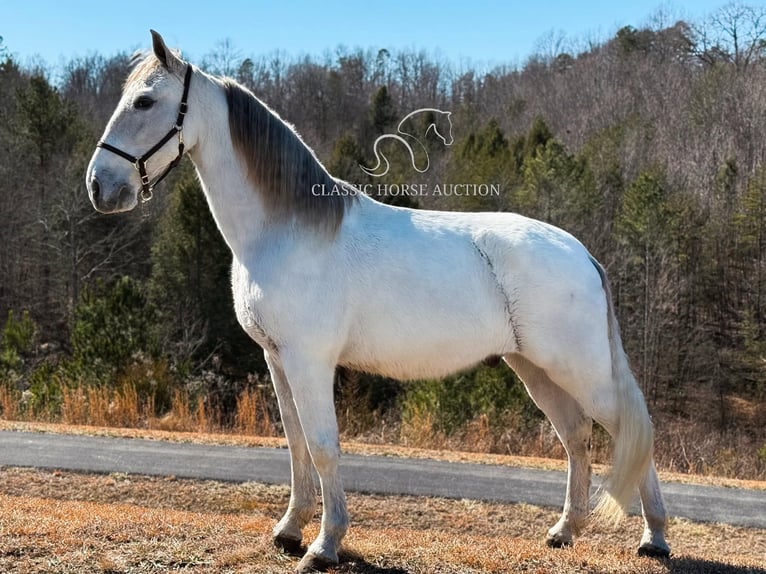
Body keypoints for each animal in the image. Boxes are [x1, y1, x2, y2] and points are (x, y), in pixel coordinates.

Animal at [87, 32, 668, 574]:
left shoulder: (309, 361)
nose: (100, 187)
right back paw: (564, 532)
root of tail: (582, 254)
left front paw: (323, 545)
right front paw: (289, 530)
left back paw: (655, 539)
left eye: (144, 101)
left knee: (631, 433)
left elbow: (323, 446)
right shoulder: (277, 359)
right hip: (535, 368)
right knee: (576, 437)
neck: (285, 231)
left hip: (580, 371)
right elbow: (296, 445)